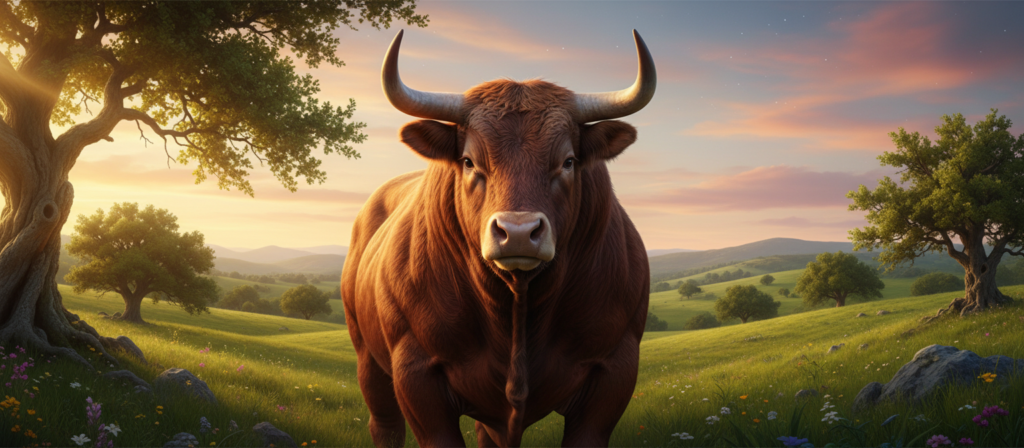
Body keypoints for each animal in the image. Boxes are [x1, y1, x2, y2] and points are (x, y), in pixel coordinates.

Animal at [341, 29, 655, 448]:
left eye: (568, 161)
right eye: (469, 161)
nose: (518, 233)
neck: (517, 308)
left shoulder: (615, 370)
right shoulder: (416, 373)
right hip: (367, 356)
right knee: (385, 424)